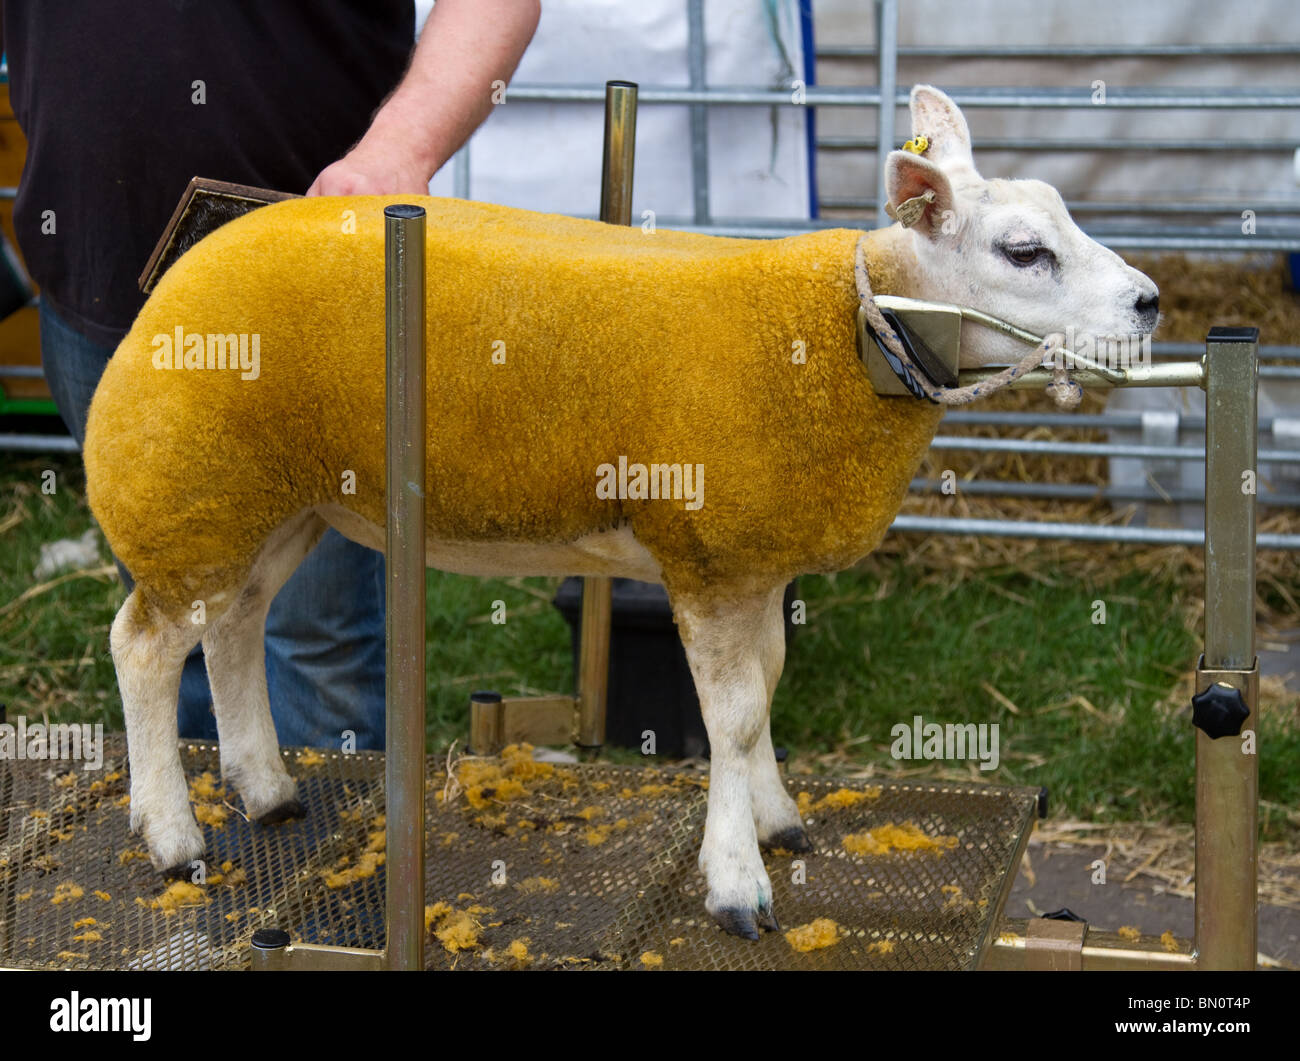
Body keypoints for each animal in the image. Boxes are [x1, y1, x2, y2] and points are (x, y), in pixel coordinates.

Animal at [81, 87, 1159, 941]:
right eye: (1024, 252)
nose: (1150, 302)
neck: (843, 330)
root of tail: (191, 258)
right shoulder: (710, 557)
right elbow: (730, 716)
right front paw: (736, 881)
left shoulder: (758, 560)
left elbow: (765, 692)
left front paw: (776, 815)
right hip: (186, 484)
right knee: (144, 645)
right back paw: (173, 834)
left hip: (270, 498)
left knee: (232, 625)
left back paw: (265, 789)